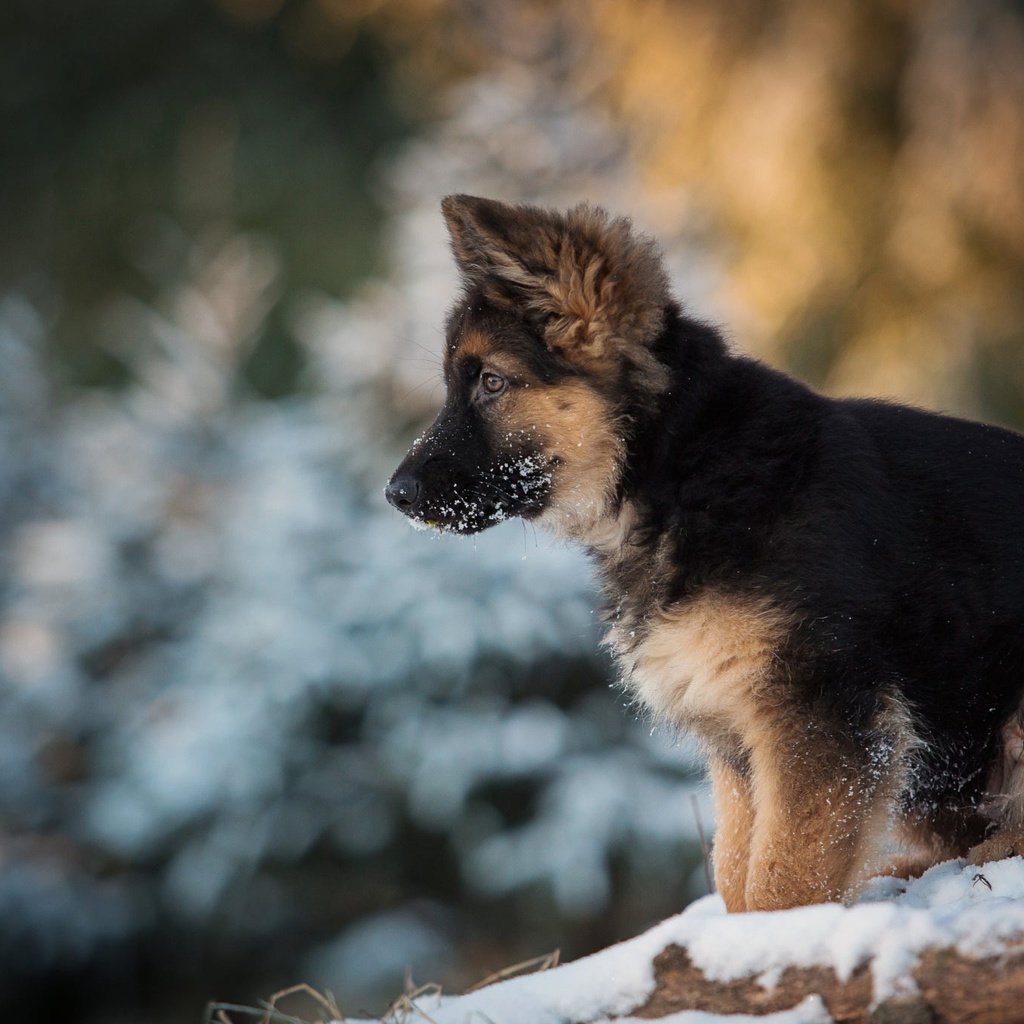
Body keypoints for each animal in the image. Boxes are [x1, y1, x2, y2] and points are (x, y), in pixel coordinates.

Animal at [385, 193, 1024, 913]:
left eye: (493, 383)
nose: (395, 494)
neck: (681, 469)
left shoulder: (821, 717)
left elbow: (783, 880)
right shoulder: (737, 736)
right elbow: (737, 870)